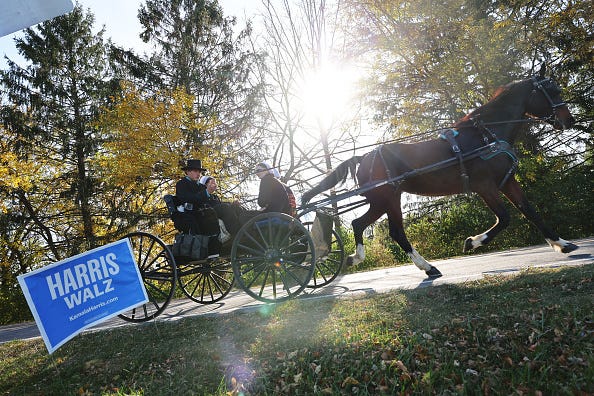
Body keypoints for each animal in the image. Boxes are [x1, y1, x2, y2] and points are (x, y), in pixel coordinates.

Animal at [300, 67, 572, 278]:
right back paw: (428, 267)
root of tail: (364, 157)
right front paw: (471, 242)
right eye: (553, 91)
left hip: (382, 200)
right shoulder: (484, 186)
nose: (567, 120)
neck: (485, 135)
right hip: (388, 199)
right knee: (395, 232)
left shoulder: (506, 181)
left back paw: (358, 258)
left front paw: (561, 243)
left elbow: (530, 211)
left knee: (361, 224)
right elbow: (505, 218)